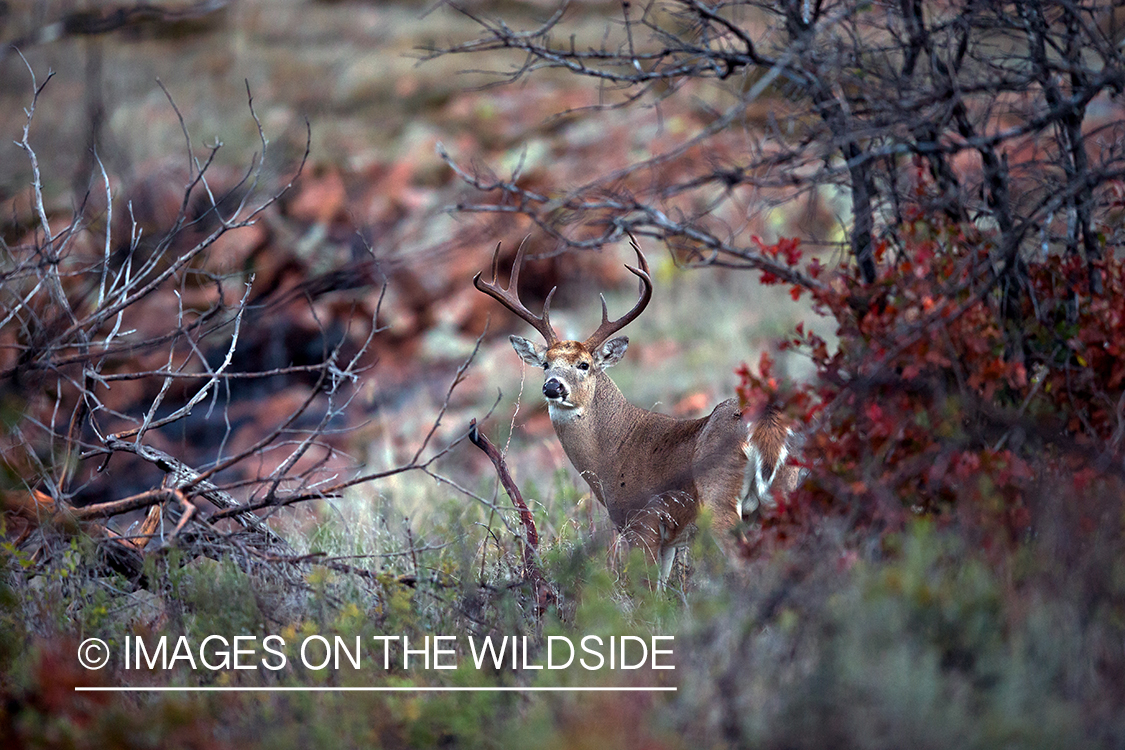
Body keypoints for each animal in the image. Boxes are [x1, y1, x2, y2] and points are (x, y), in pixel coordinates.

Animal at [474, 236, 801, 584]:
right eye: (546, 364)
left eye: (584, 364)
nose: (552, 387)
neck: (614, 450)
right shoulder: (669, 540)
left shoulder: (642, 522)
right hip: (781, 491)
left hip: (720, 498)